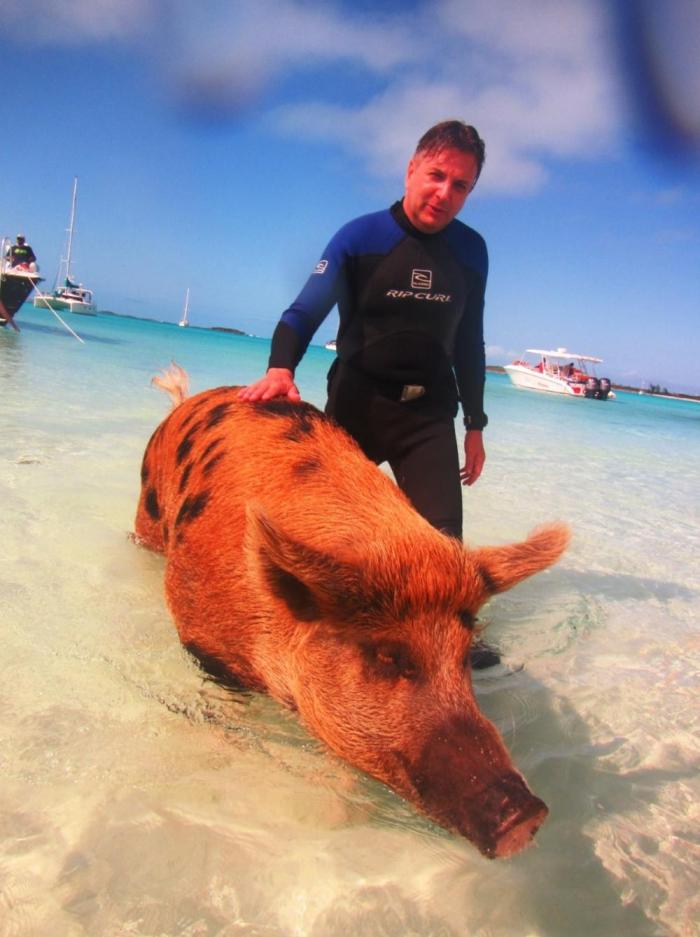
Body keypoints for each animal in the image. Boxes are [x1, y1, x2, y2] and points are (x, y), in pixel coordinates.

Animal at [135, 362, 568, 860]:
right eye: (388, 656)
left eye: (464, 653)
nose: (528, 815)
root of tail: (186, 403)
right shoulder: (206, 647)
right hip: (146, 514)